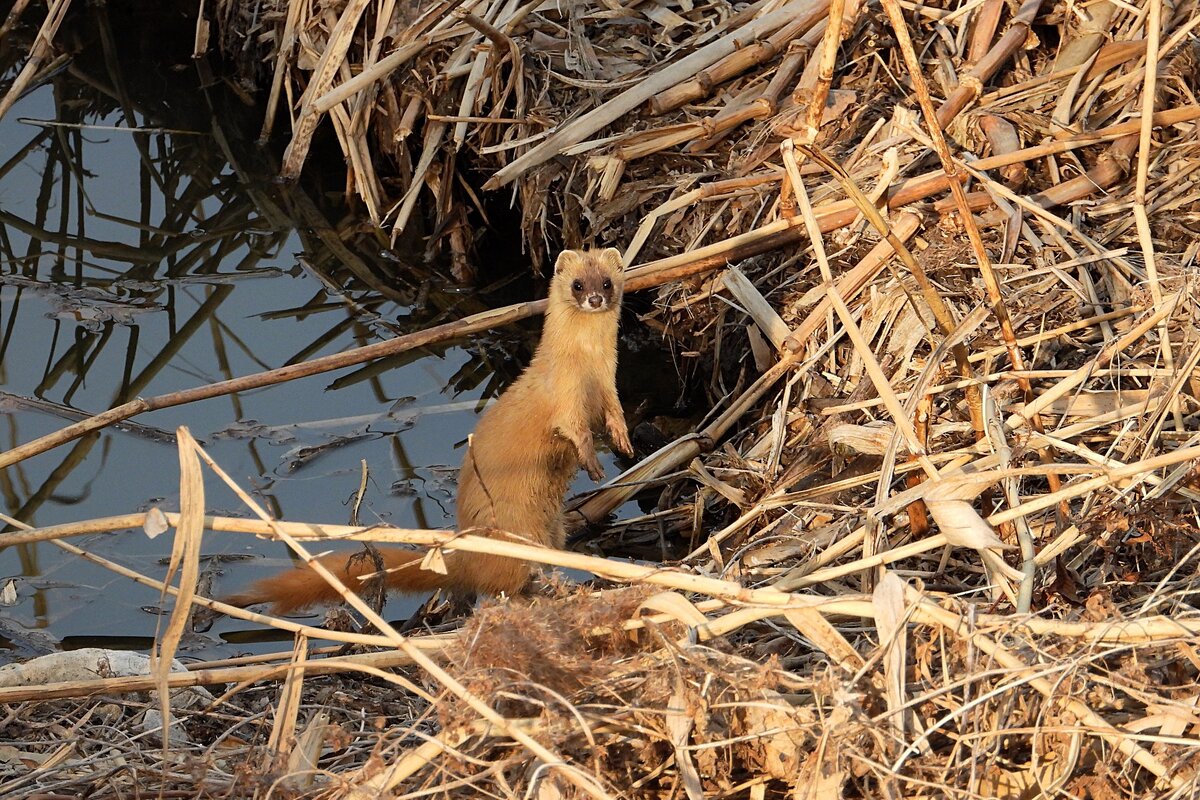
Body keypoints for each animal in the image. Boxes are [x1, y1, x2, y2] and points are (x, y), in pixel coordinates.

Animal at [228, 247, 633, 618]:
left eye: (606, 281)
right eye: (578, 283)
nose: (595, 298)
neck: (587, 367)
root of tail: (469, 556)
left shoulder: (609, 387)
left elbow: (614, 414)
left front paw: (624, 443)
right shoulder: (564, 398)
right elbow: (574, 430)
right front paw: (593, 464)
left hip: (552, 529)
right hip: (518, 537)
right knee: (505, 586)